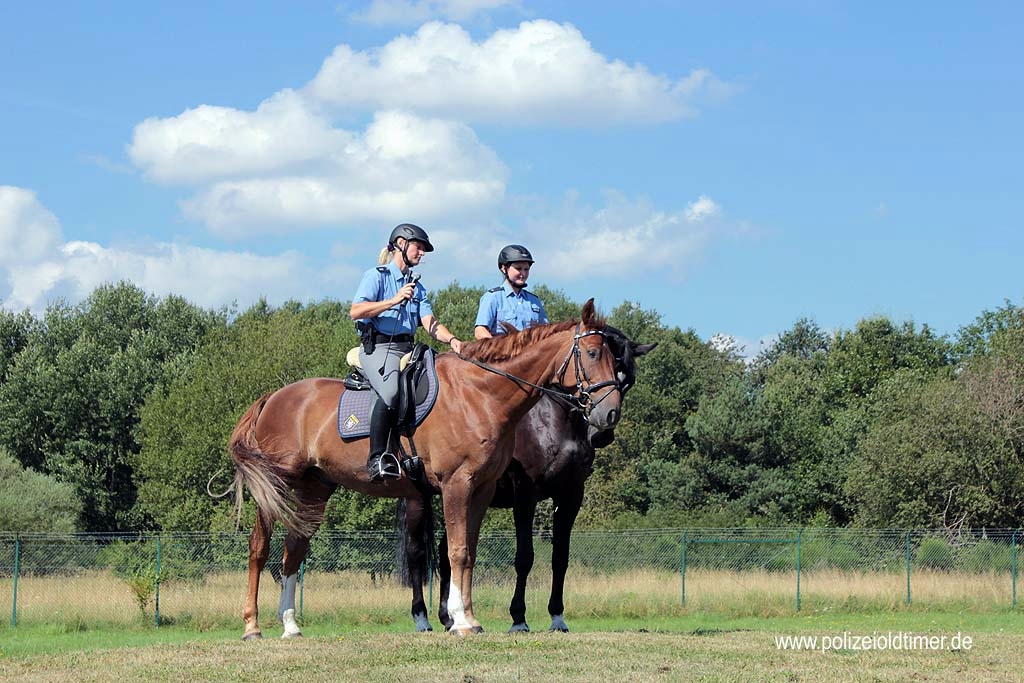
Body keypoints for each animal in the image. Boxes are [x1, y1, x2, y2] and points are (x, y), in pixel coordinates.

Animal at [228, 301, 618, 638]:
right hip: (277, 485)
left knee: (294, 549)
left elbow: (468, 551)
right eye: (592, 353)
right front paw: (460, 620)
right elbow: (457, 551)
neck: (481, 394)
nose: (609, 414)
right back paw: (252, 626)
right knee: (259, 548)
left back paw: (290, 625)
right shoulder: (459, 485)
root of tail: (273, 398)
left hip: (315, 489)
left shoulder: (482, 489)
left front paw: (470, 618)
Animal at [399, 325, 655, 630]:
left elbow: (560, 557)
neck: (554, 420)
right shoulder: (526, 494)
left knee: (446, 553)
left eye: (627, 381)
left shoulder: (571, 495)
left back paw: (448, 617)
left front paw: (557, 616)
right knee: (416, 553)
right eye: (596, 362)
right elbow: (524, 557)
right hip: (419, 497)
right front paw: (518, 617)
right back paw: (421, 616)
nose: (602, 432)